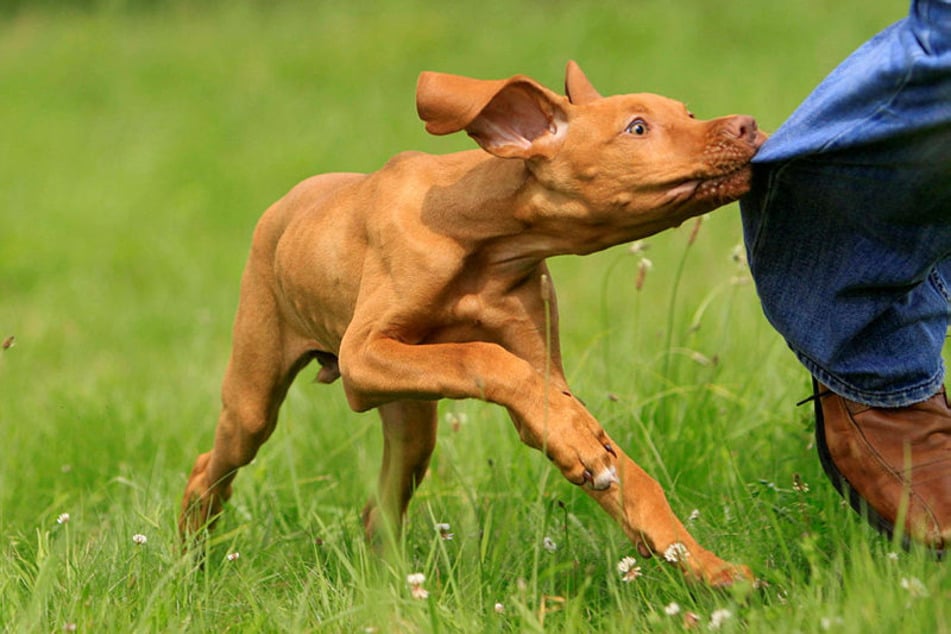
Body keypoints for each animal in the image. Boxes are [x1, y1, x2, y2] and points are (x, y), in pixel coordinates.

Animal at [180, 61, 768, 584]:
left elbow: (626, 473)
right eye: (638, 128)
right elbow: (481, 354)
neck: (484, 239)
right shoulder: (362, 356)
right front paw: (578, 441)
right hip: (256, 395)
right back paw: (190, 556)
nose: (747, 125)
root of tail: (289, 199)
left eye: (688, 112)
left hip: (411, 421)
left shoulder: (540, 373)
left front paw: (707, 567)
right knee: (212, 463)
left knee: (380, 509)